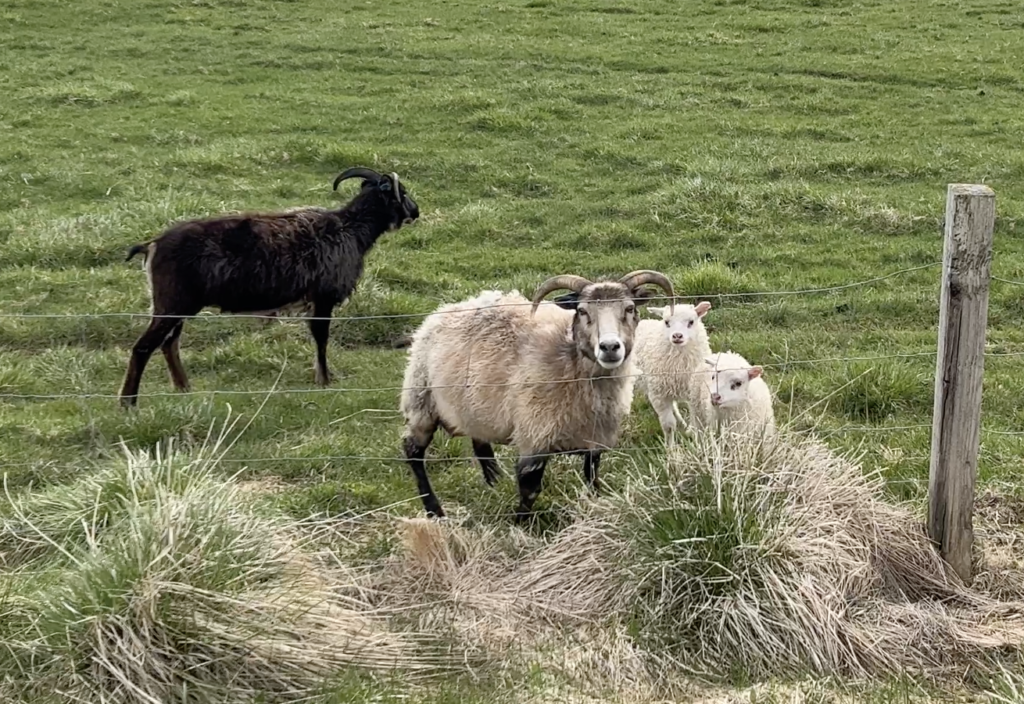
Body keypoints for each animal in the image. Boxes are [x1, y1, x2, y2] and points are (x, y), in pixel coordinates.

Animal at [630, 298, 712, 446]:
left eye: (691, 322)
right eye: (666, 322)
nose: (677, 336)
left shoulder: (693, 391)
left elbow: (697, 422)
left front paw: (698, 444)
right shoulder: (658, 395)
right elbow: (668, 426)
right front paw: (671, 449)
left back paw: (685, 426)